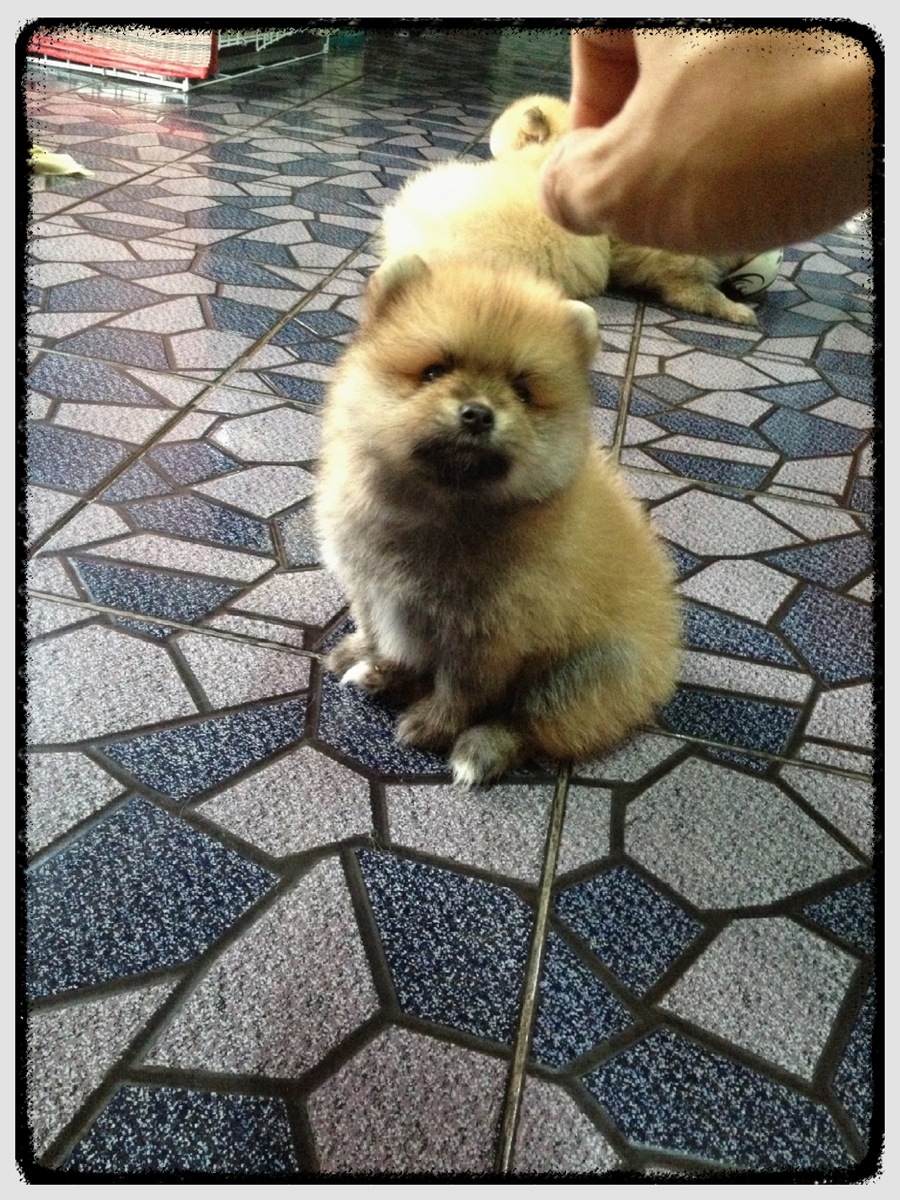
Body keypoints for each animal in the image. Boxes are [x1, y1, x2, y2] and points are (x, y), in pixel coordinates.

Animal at [315, 255, 680, 787]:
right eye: (434, 371)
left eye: (523, 392)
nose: (477, 414)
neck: (442, 506)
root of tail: (664, 659)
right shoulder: (372, 588)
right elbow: (381, 637)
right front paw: (370, 661)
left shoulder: (488, 635)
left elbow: (460, 692)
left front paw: (433, 726)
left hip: (584, 671)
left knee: (530, 723)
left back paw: (481, 748)